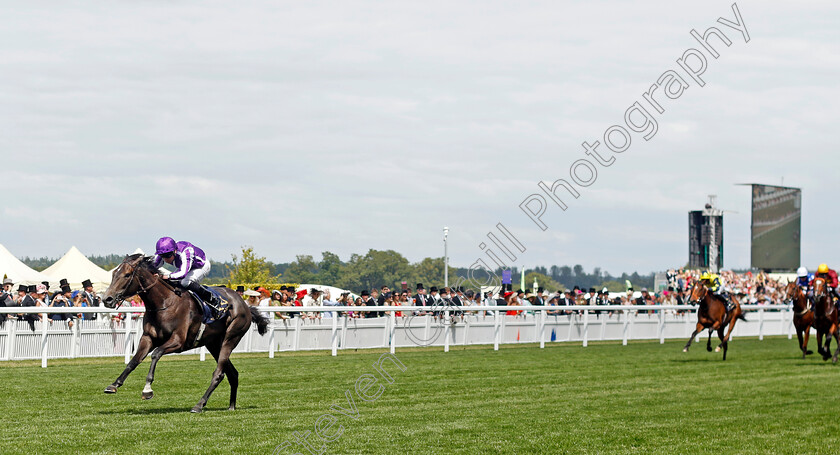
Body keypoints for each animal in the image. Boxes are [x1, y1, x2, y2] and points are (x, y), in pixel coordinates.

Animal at [99, 255, 270, 416]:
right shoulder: (148, 338)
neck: (164, 303)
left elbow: (156, 354)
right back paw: (231, 406)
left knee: (219, 373)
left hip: (231, 338)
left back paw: (199, 405)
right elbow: (134, 360)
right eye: (114, 274)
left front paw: (147, 390)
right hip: (214, 344)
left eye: (127, 275)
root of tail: (245, 305)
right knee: (232, 373)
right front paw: (114, 385)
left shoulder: (178, 341)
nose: (107, 299)